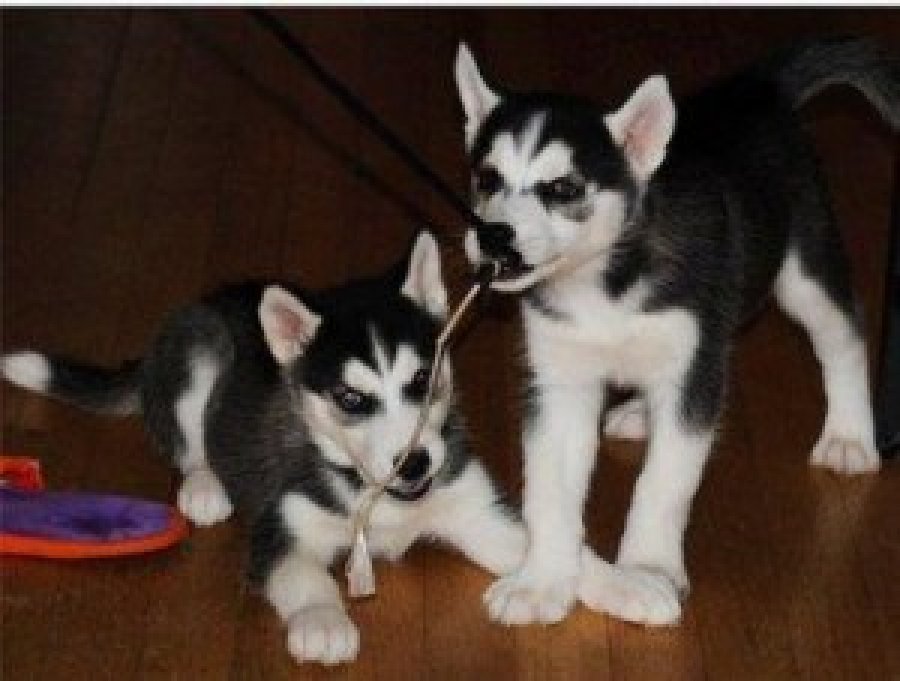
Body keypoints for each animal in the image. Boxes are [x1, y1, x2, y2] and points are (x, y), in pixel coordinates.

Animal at [454, 39, 896, 628]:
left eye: (563, 189)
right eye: (487, 179)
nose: (494, 235)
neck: (604, 282)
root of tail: (757, 88)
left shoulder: (693, 372)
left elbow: (664, 482)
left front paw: (647, 568)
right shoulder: (559, 383)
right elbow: (549, 489)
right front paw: (542, 580)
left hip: (804, 269)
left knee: (844, 336)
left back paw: (849, 435)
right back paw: (641, 414)